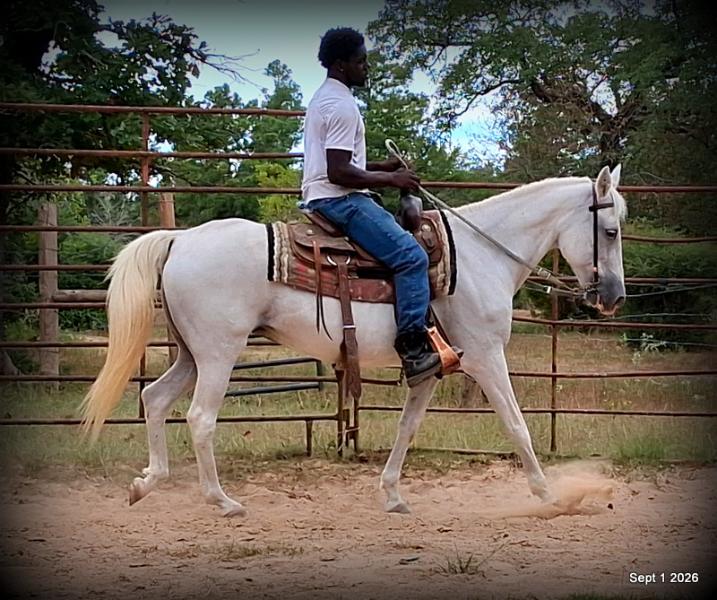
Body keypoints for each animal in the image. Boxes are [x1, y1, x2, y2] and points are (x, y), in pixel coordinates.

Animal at [81, 165, 626, 517]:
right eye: (611, 230)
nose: (614, 297)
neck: (477, 256)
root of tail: (181, 239)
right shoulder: (488, 358)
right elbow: (517, 426)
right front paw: (551, 496)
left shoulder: (430, 366)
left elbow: (407, 429)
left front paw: (393, 495)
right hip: (218, 352)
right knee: (199, 417)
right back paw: (222, 501)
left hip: (191, 354)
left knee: (154, 398)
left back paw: (147, 483)